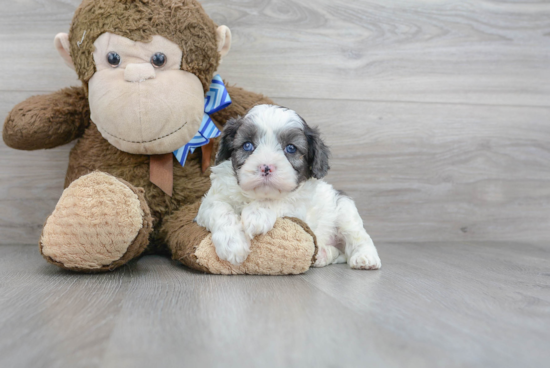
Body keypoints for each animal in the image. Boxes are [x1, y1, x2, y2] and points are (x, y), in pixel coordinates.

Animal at [198, 105, 384, 268]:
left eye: (291, 148)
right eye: (247, 145)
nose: (266, 167)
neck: (256, 195)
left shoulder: (299, 205)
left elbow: (281, 201)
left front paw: (257, 214)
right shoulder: (209, 203)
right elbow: (219, 209)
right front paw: (232, 244)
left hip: (345, 210)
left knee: (358, 237)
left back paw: (365, 258)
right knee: (338, 253)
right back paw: (322, 255)